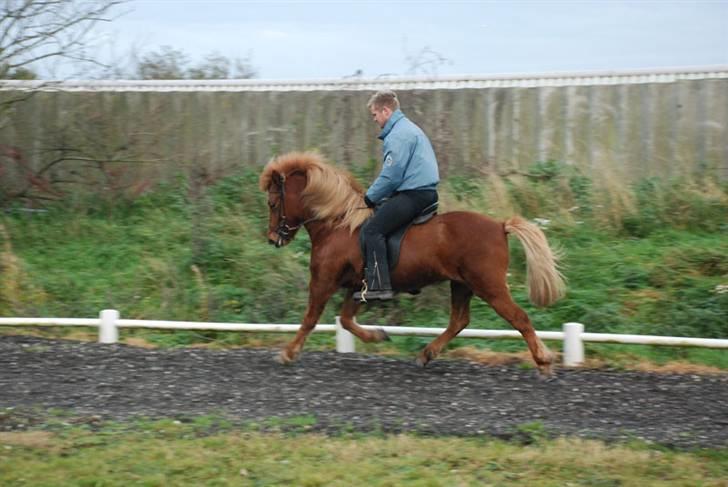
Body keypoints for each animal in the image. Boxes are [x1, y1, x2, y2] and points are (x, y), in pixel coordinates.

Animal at [258, 152, 564, 378]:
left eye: (272, 203)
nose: (273, 239)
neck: (338, 225)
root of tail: (500, 225)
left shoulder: (323, 281)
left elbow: (310, 319)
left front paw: (288, 353)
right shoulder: (357, 287)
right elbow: (345, 320)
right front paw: (378, 336)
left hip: (489, 285)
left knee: (519, 318)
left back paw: (543, 362)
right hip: (461, 284)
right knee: (459, 320)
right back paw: (426, 354)